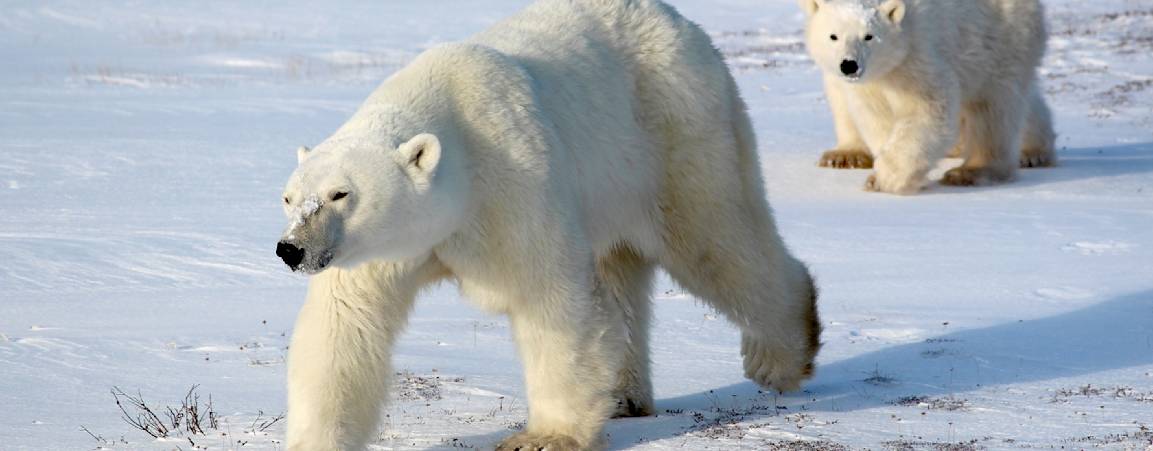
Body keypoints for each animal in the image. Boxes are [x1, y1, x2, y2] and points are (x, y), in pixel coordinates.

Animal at [276, 0, 820, 451]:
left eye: (340, 194)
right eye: (289, 198)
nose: (290, 249)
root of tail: (679, 22)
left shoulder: (512, 185)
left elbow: (551, 298)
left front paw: (543, 438)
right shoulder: (380, 253)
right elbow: (344, 328)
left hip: (676, 132)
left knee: (716, 239)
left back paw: (782, 354)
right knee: (624, 274)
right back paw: (624, 397)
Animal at [802, 0, 1056, 193]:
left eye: (869, 36)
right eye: (833, 36)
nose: (849, 65)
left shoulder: (917, 58)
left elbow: (928, 111)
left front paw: (884, 179)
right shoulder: (872, 81)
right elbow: (877, 116)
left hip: (1001, 38)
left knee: (992, 107)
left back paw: (973, 170)